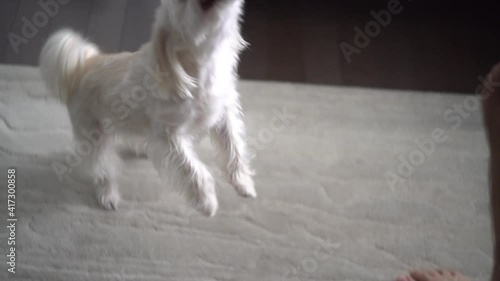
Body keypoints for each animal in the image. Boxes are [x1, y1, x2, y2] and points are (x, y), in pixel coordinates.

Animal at [39, 0, 256, 217]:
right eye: (179, 2)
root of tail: (81, 67)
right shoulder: (169, 136)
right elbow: (193, 170)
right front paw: (206, 201)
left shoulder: (223, 115)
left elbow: (234, 150)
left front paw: (243, 183)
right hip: (93, 135)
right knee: (103, 168)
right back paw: (108, 194)